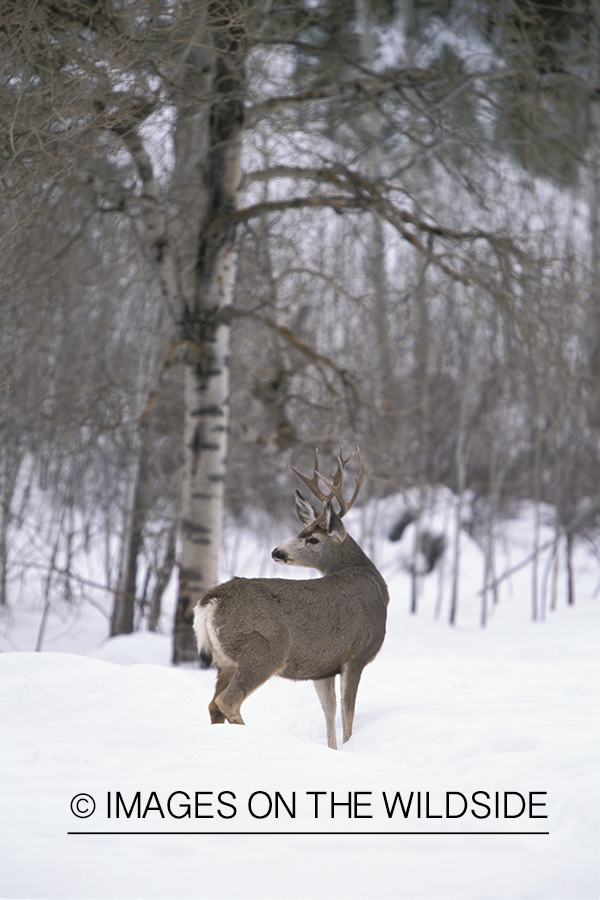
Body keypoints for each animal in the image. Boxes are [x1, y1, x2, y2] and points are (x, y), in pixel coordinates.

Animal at [193, 448, 389, 749]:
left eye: (313, 539)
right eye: (302, 532)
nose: (277, 552)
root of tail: (211, 601)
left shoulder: (323, 667)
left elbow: (329, 711)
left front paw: (333, 750)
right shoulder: (356, 654)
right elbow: (348, 714)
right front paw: (349, 748)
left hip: (224, 661)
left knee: (213, 705)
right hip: (263, 651)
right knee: (227, 701)